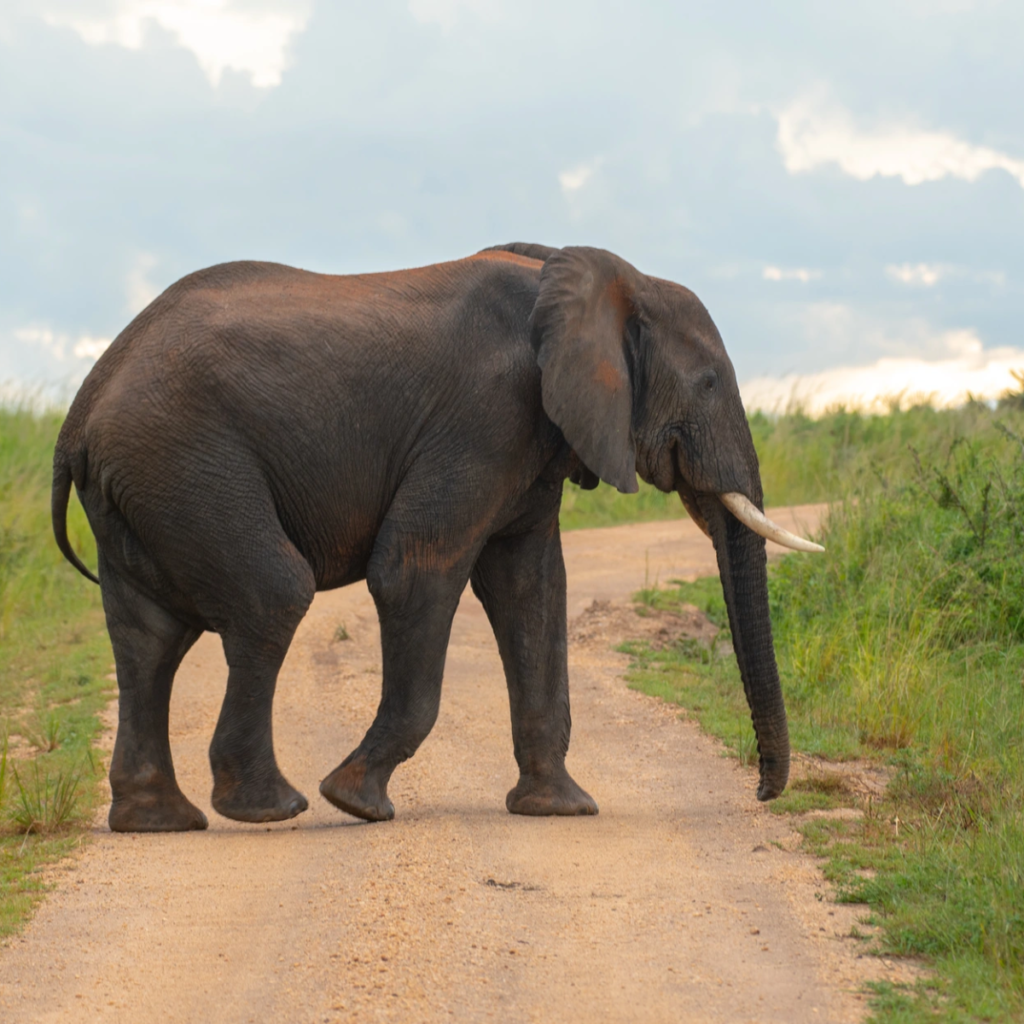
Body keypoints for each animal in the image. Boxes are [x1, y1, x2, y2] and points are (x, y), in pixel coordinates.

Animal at [52, 243, 820, 833]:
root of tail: (81, 409)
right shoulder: (485, 416)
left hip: (147, 481)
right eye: (710, 381)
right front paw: (356, 802)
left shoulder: (531, 438)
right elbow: (412, 569)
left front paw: (560, 810)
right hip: (185, 459)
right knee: (273, 593)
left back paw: (159, 821)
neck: (595, 276)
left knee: (149, 635)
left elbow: (532, 592)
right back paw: (273, 809)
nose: (760, 791)